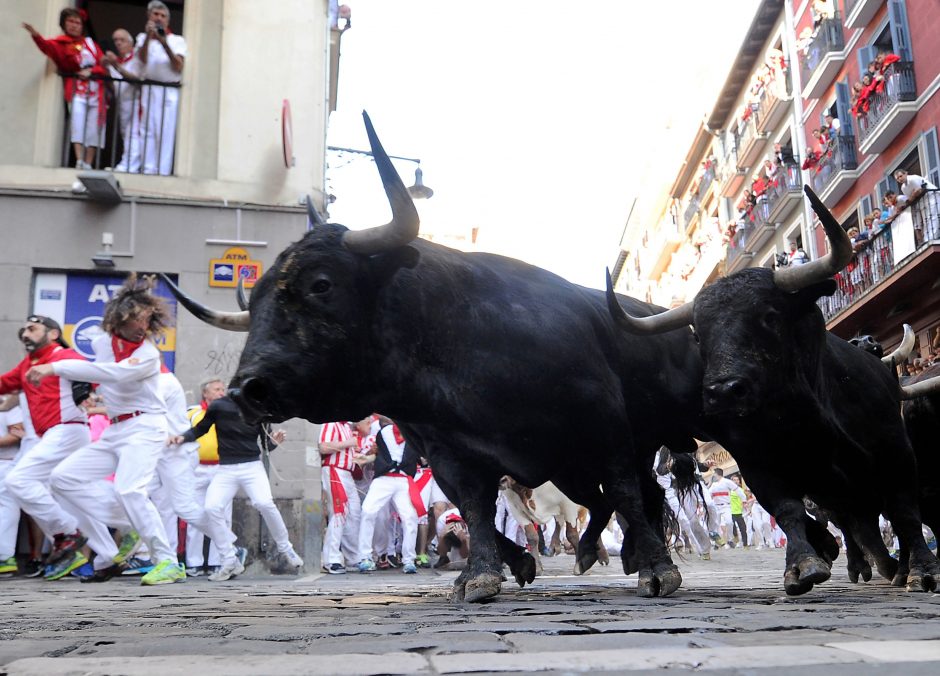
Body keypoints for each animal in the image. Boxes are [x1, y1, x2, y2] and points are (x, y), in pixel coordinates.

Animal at [163, 113, 704, 604]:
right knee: (615, 499)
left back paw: (630, 554)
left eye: (321, 284)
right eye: (253, 302)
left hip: (615, 446)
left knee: (633, 495)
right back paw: (603, 551)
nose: (246, 389)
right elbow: (475, 508)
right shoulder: (450, 451)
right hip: (570, 462)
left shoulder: (604, 426)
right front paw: (485, 572)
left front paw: (659, 571)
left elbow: (622, 491)